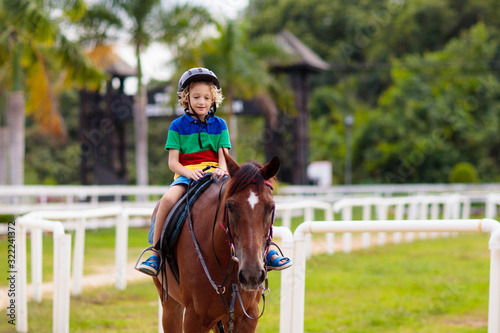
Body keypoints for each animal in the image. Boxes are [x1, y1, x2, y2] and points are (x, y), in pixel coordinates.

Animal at [152, 152, 280, 330]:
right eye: (230, 206)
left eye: (271, 207)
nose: (251, 274)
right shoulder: (194, 318)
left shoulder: (248, 317)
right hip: (171, 305)